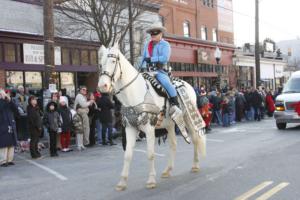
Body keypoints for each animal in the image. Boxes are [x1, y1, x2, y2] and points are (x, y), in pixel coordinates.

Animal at [98, 45, 206, 191]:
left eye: (113, 61)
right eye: (100, 64)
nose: (102, 86)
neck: (134, 94)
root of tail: (187, 84)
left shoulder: (149, 128)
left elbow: (150, 154)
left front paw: (150, 180)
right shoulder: (130, 128)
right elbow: (128, 155)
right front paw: (122, 182)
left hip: (188, 119)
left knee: (194, 139)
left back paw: (195, 165)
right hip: (170, 124)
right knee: (173, 144)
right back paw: (167, 170)